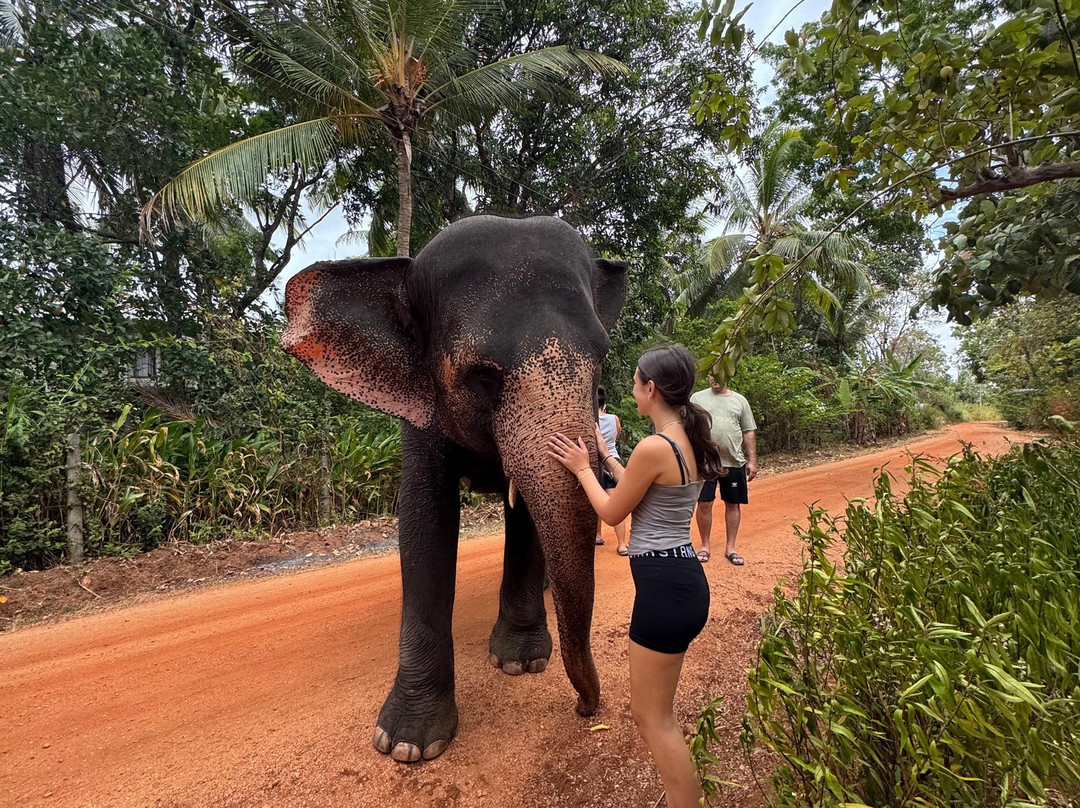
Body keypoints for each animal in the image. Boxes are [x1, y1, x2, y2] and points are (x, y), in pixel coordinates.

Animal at [281, 215, 628, 763]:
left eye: (602, 357)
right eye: (481, 376)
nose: (585, 709)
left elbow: (525, 516)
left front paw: (520, 663)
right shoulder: (418, 412)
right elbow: (424, 520)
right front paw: (408, 744)